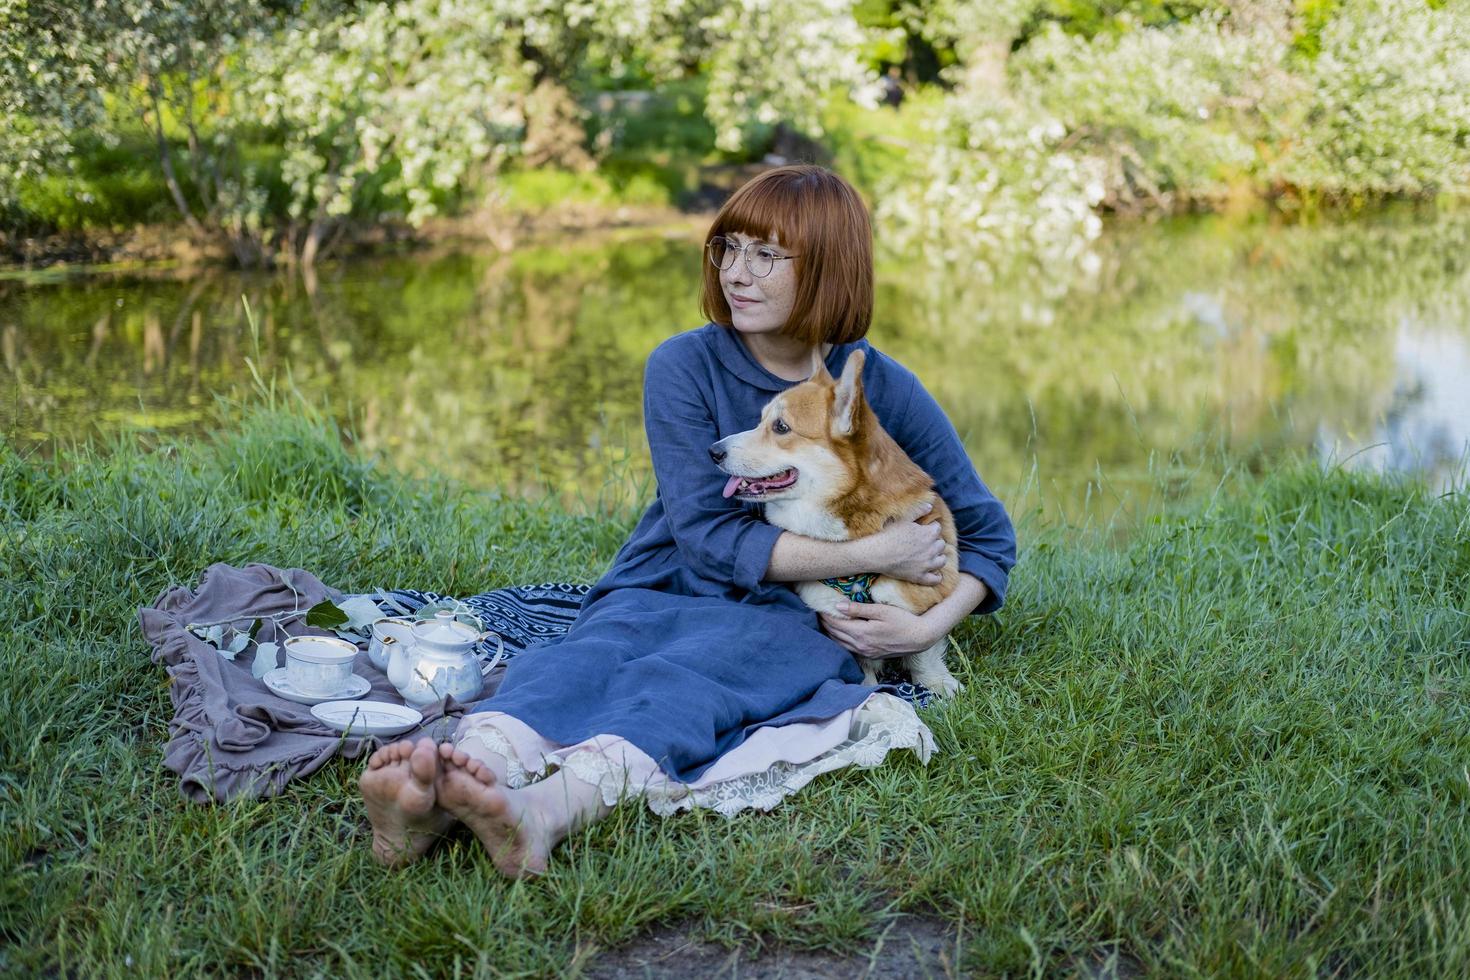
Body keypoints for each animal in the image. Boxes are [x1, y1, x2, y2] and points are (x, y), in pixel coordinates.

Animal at [711, 352, 964, 696]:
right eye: (760, 420)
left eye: (781, 426)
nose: (713, 451)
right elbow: (864, 668)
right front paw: (868, 690)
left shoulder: (926, 595)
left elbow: (923, 647)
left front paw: (936, 683)